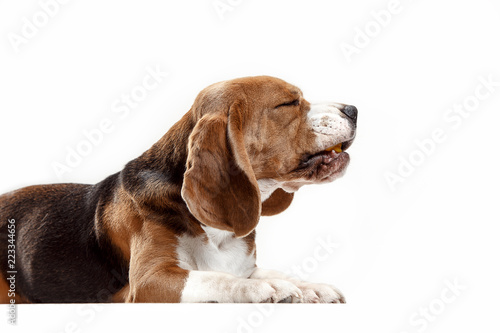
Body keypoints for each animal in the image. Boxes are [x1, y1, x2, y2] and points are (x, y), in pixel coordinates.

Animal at [0, 76, 356, 304]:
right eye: (289, 103)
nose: (353, 109)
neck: (215, 232)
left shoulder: (245, 266)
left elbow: (265, 272)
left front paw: (309, 287)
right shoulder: (150, 281)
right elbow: (218, 278)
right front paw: (269, 287)